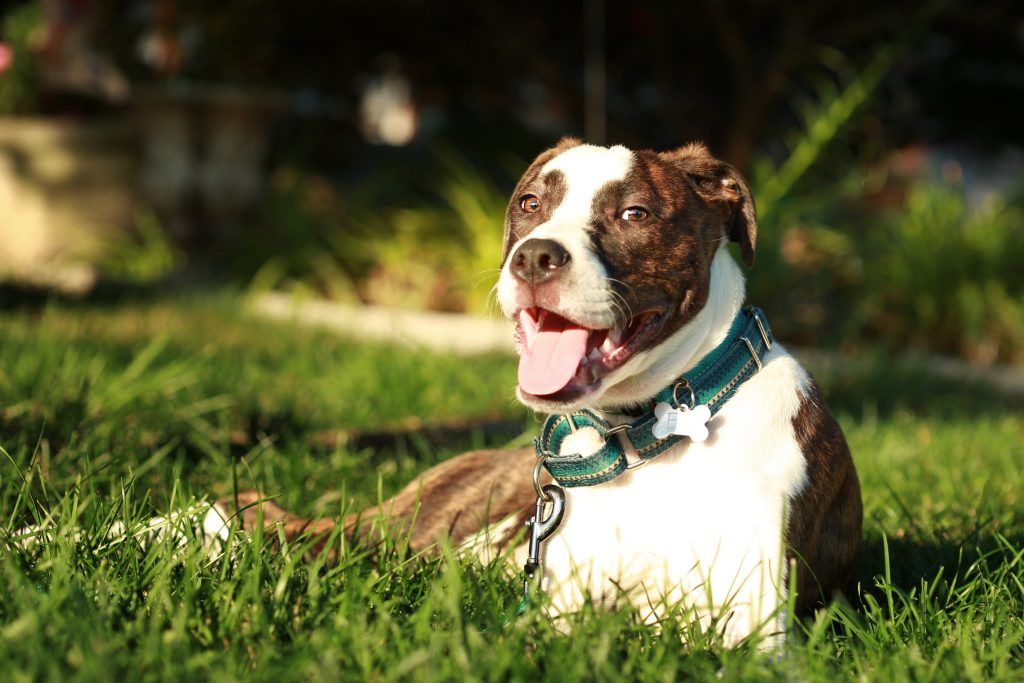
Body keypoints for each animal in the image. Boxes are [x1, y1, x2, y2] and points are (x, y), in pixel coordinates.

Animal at [220, 137, 860, 647]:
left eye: (634, 212)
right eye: (531, 204)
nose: (534, 256)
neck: (649, 427)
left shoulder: (751, 626)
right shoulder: (557, 611)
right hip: (409, 529)